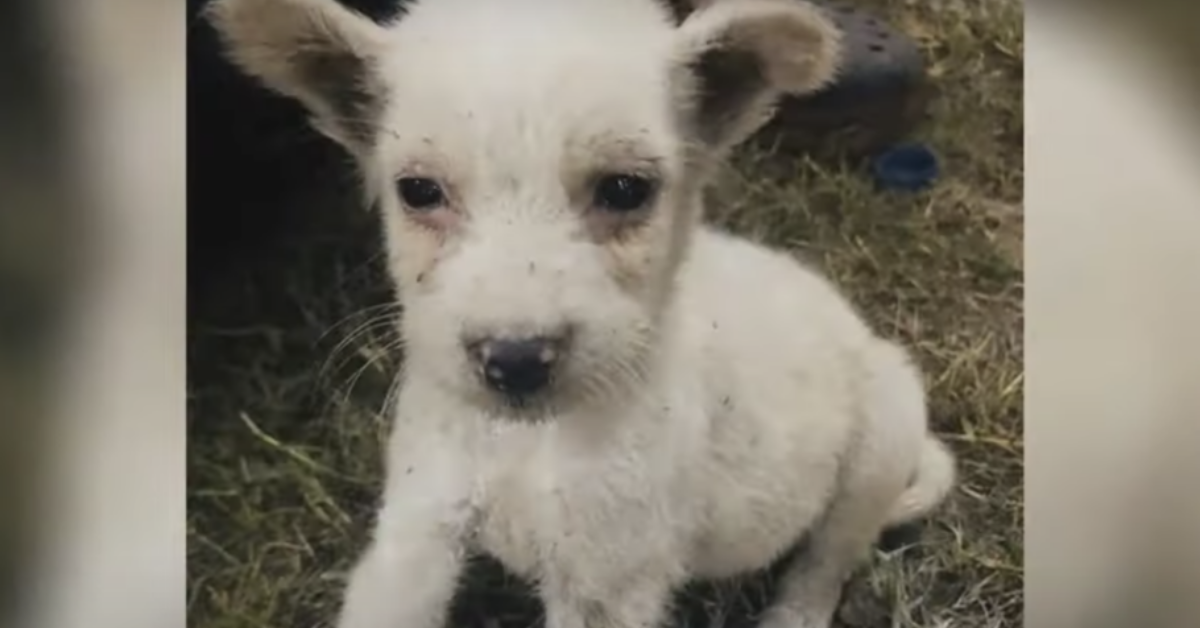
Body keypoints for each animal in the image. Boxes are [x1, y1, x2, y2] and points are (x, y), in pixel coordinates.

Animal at [208, 1, 955, 628]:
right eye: (417, 190)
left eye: (625, 189)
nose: (513, 360)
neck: (527, 441)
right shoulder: (419, 523)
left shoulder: (606, 583)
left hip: (881, 445)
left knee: (824, 565)